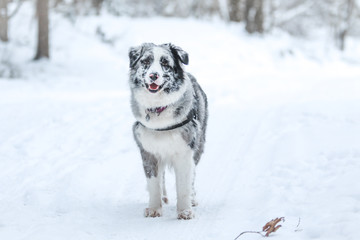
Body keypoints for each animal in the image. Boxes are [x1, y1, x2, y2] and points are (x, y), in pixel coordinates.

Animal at [129, 43, 208, 219]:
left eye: (165, 63)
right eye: (146, 61)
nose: (153, 75)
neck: (159, 108)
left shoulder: (185, 151)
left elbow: (184, 184)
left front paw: (185, 211)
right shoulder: (148, 150)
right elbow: (154, 182)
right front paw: (154, 208)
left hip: (198, 146)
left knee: (193, 175)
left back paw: (192, 199)